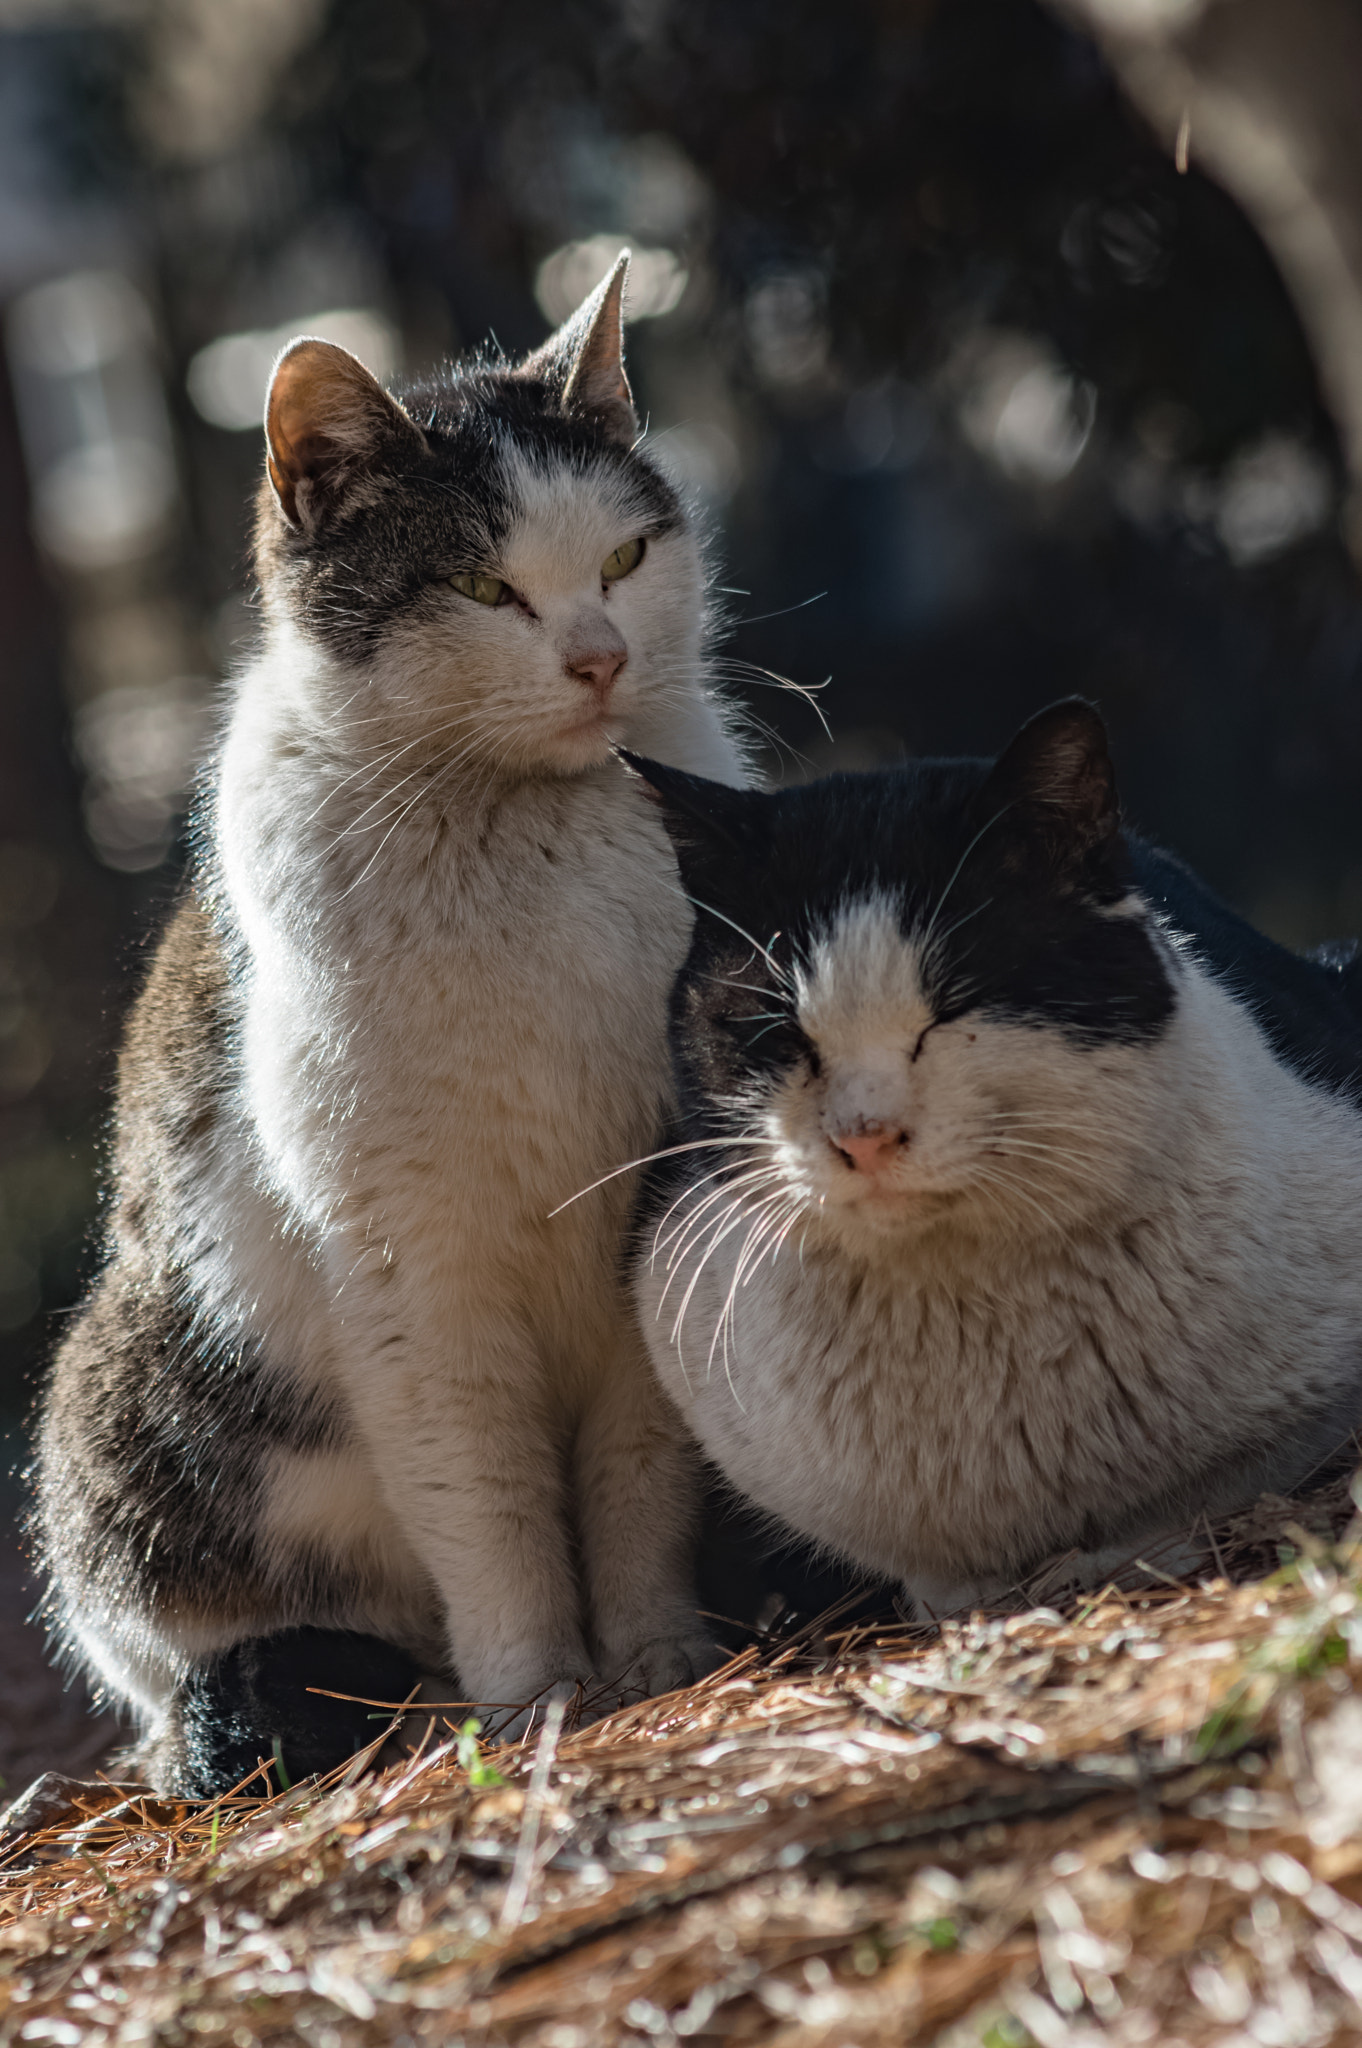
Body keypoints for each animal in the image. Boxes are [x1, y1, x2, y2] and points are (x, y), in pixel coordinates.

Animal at [37, 256, 745, 1794]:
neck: (530, 843)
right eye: (484, 586)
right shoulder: (411, 1271)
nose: (600, 657)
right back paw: (399, 1706)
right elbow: (484, 1499)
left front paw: (655, 1652)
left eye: (623, 559)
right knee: (203, 1670)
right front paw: (537, 1693)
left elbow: (635, 1473)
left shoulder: (651, 1201)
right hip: (122, 1404)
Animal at [622, 704, 1359, 1613]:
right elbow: (934, 1578)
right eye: (777, 1031)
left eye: (953, 1008)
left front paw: (1127, 1549)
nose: (863, 1134)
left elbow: (1231, 1479)